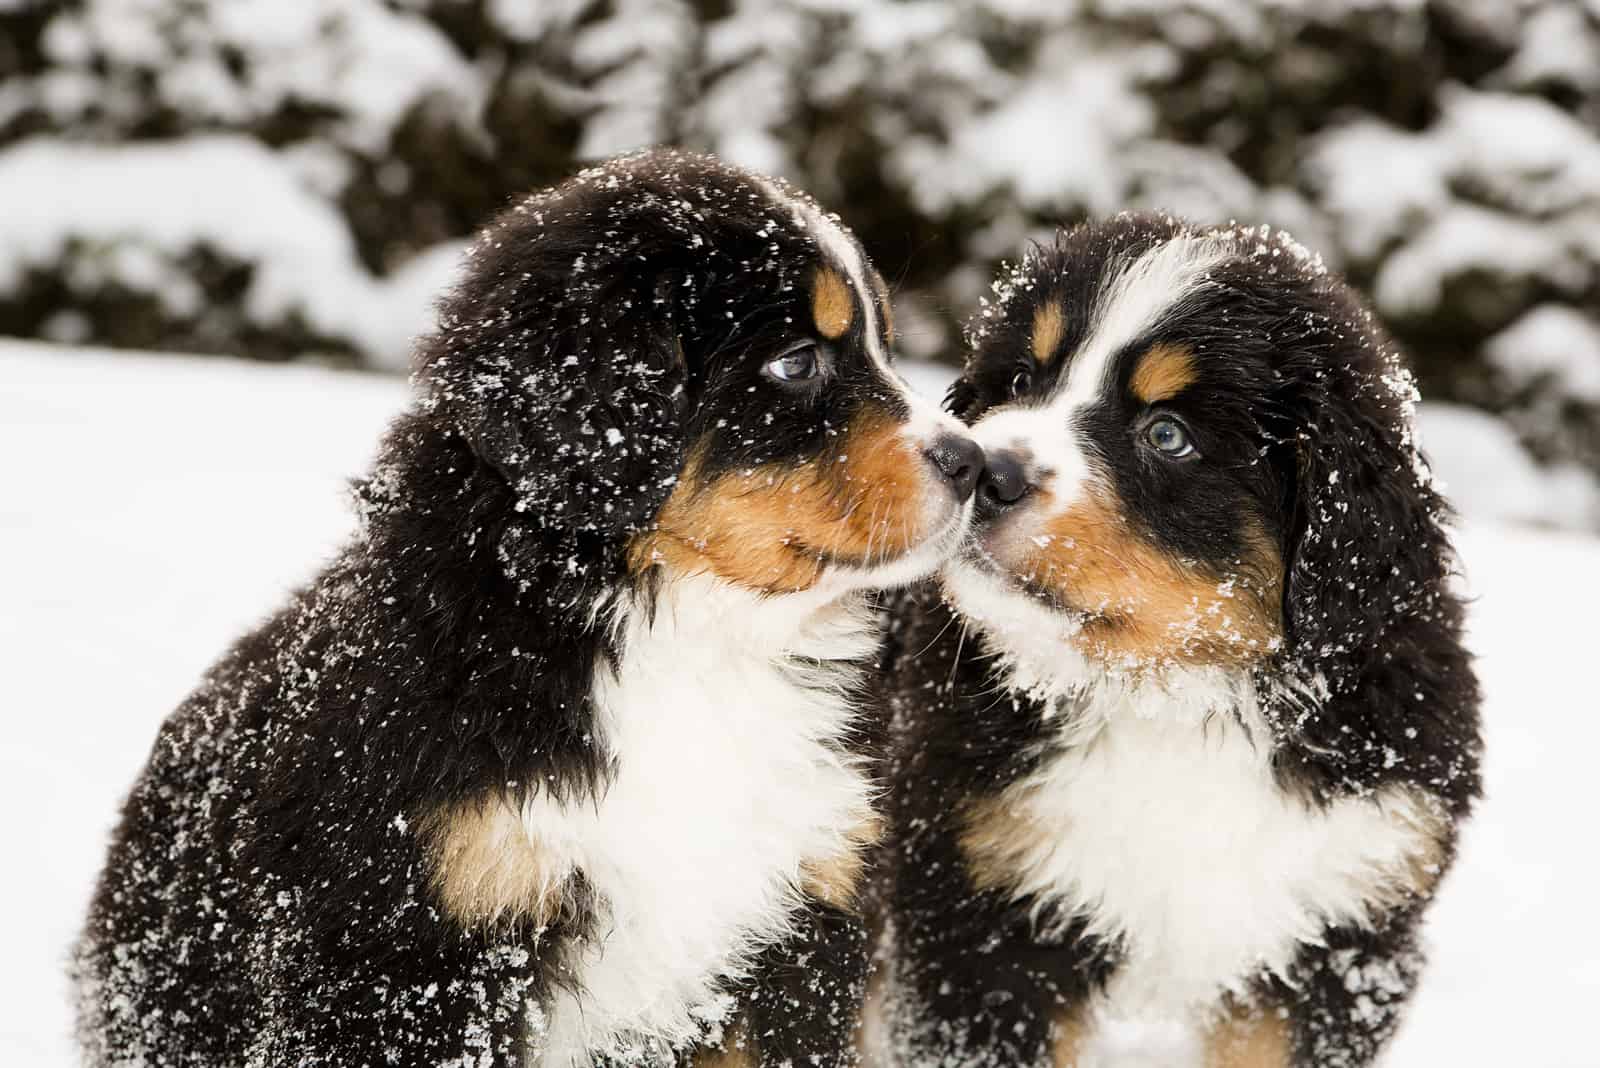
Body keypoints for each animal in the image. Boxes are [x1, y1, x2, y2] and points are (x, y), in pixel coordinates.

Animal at [78, 150, 985, 1068]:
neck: (690, 639)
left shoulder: (802, 923)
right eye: (798, 362)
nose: (974, 463)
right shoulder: (419, 948)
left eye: (884, 346)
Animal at [876, 217, 1484, 1068]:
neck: (1172, 699)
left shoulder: (1342, 930)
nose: (987, 469)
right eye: (1023, 378)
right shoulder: (982, 915)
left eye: (1167, 435)